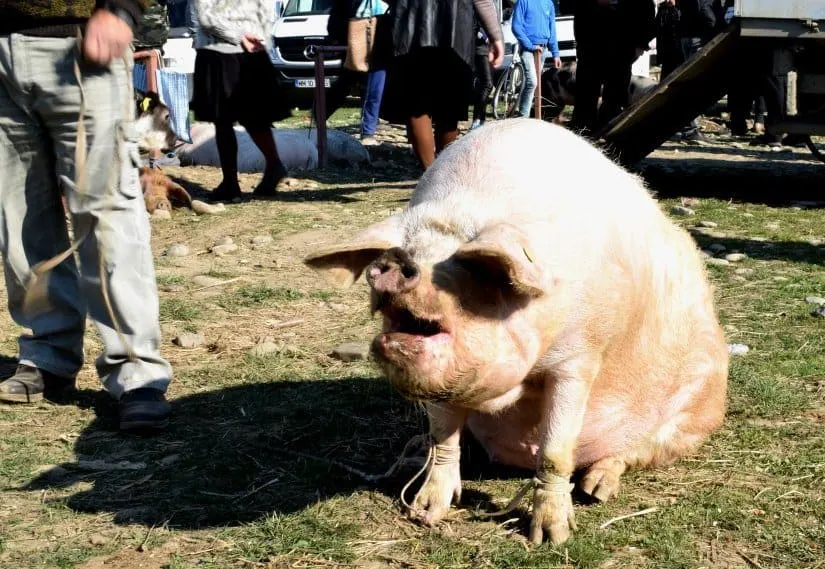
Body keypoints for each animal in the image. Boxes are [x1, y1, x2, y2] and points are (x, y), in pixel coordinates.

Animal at [304, 117, 728, 544]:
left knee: (630, 454)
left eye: (471, 272)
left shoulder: (579, 357)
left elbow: (556, 451)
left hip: (695, 414)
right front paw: (424, 514)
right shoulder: (444, 384)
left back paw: (597, 490)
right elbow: (443, 437)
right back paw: (418, 448)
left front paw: (552, 538)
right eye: (411, 249)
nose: (394, 261)